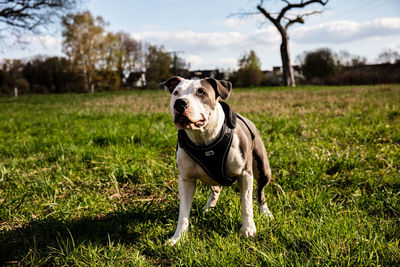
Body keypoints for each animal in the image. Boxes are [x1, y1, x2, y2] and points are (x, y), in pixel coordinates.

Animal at [159, 76, 276, 246]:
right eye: (176, 92)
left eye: (201, 92)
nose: (180, 103)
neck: (203, 138)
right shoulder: (186, 180)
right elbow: (183, 213)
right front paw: (178, 237)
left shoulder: (245, 175)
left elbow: (246, 204)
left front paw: (248, 229)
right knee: (216, 188)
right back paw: (209, 207)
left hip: (263, 169)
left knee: (260, 192)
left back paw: (265, 213)